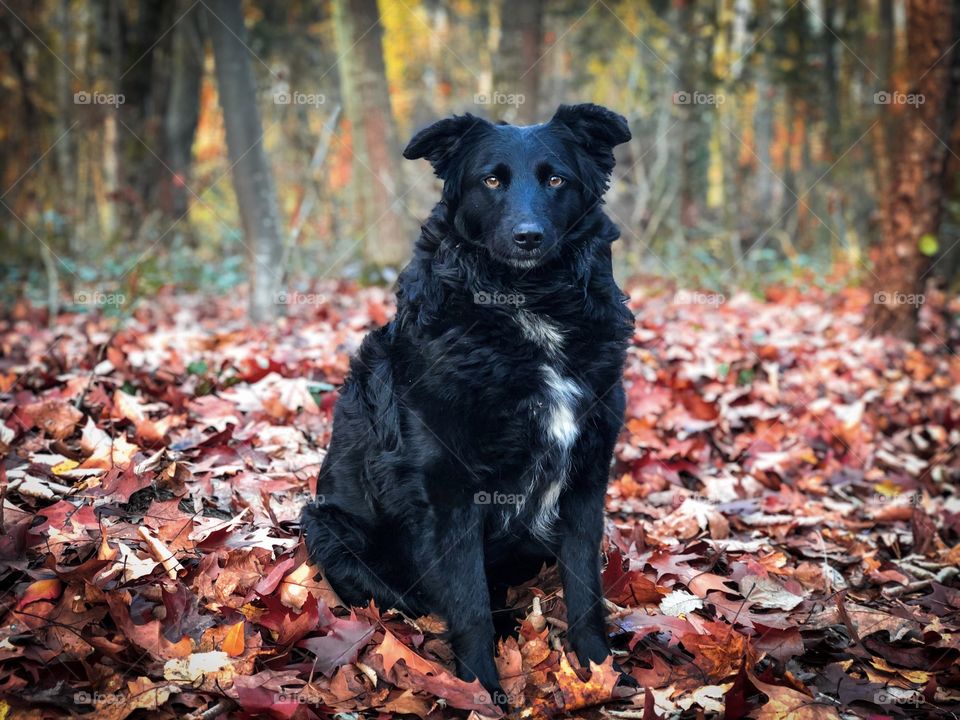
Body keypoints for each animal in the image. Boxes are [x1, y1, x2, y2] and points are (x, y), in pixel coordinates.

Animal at [306, 104, 636, 704]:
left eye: (556, 180)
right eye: (491, 181)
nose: (528, 237)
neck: (526, 307)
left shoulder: (587, 475)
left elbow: (585, 591)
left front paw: (600, 672)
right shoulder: (449, 490)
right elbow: (469, 604)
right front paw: (481, 690)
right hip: (326, 528)